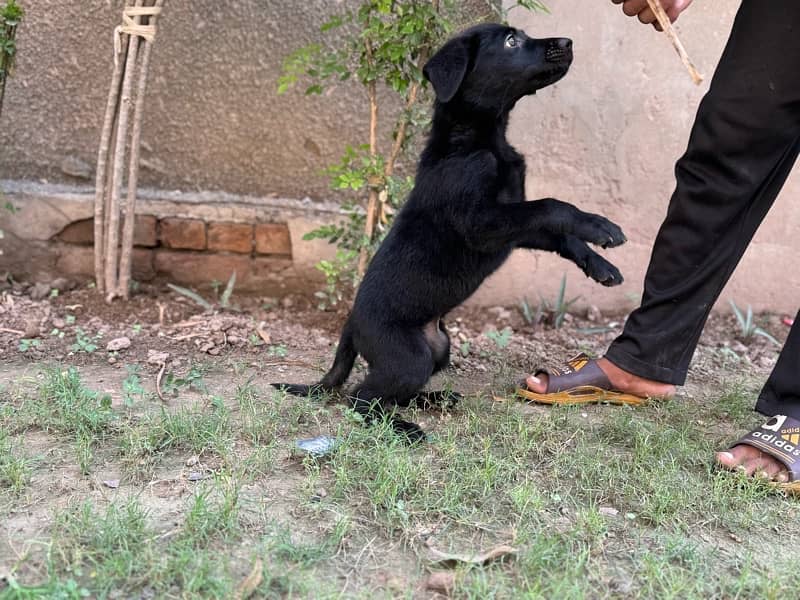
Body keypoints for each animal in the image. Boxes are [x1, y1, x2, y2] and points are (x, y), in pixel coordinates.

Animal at [276, 23, 624, 440]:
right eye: (511, 41)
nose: (567, 43)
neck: (477, 137)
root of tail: (349, 327)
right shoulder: (484, 224)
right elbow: (552, 206)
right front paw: (602, 225)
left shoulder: (513, 228)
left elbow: (560, 233)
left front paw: (602, 266)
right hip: (408, 356)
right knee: (361, 398)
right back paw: (404, 429)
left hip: (439, 347)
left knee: (396, 393)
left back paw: (435, 399)